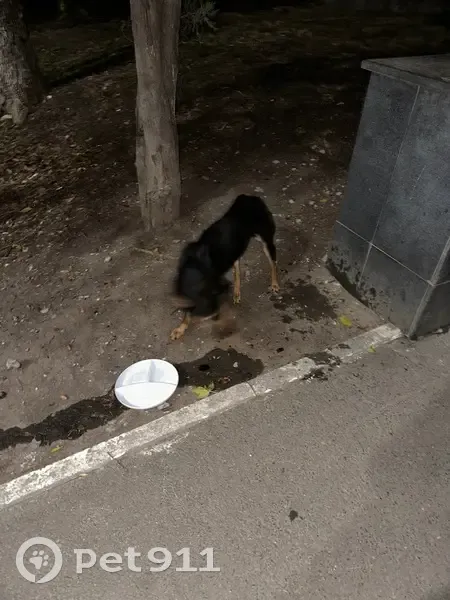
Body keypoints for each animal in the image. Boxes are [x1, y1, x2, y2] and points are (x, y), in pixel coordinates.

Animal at [170, 194, 280, 340]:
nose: (215, 317)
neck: (195, 267)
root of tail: (250, 197)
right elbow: (187, 313)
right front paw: (181, 327)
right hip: (236, 250)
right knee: (237, 269)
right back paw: (237, 292)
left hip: (266, 240)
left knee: (273, 263)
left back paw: (274, 284)